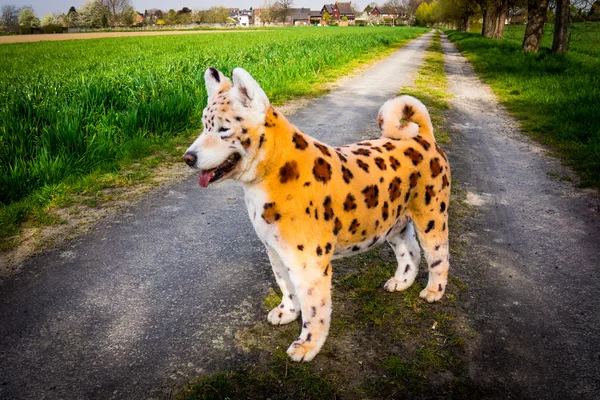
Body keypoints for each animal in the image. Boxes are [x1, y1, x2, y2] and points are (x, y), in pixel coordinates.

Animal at [183, 68, 450, 362]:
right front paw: (286, 313)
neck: (270, 175)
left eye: (223, 129)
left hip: (431, 217)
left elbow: (313, 308)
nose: (188, 157)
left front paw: (307, 346)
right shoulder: (275, 251)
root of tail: (423, 137)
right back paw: (400, 282)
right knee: (409, 253)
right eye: (204, 125)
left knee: (438, 256)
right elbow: (286, 287)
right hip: (395, 223)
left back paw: (434, 291)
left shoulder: (308, 262)